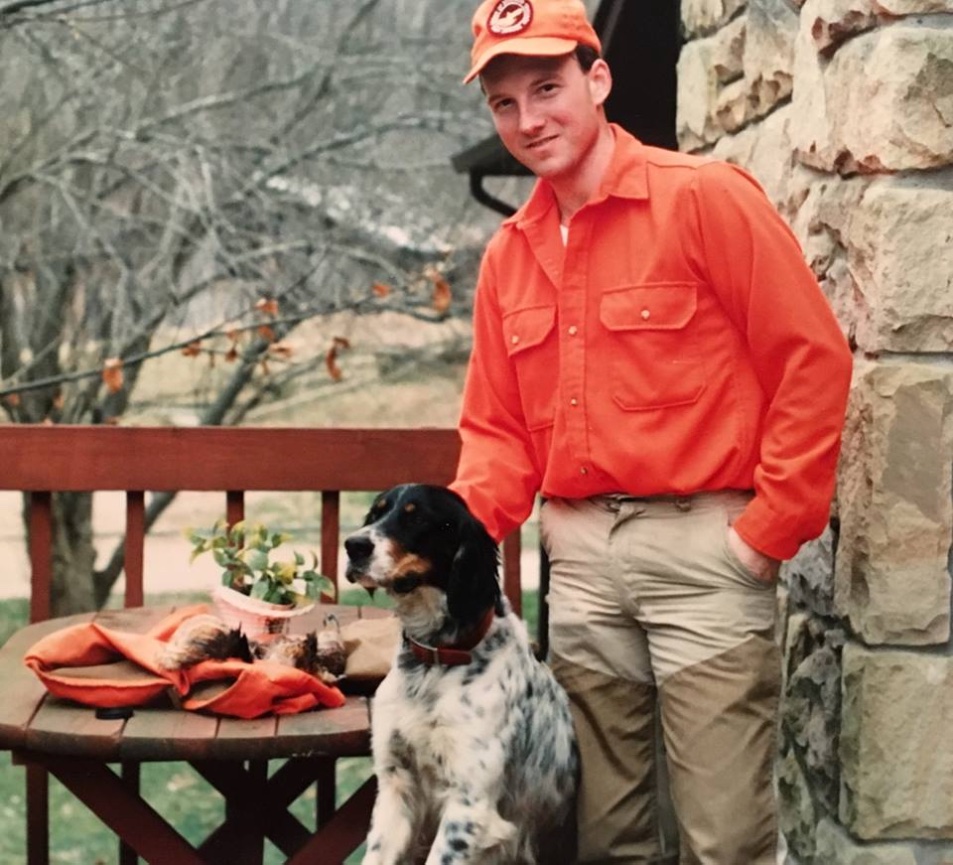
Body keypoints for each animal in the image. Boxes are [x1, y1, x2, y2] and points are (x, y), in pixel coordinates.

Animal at [346, 486, 576, 864]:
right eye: (376, 513)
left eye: (417, 518)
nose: (353, 545)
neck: (435, 660)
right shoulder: (396, 785)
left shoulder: (469, 804)